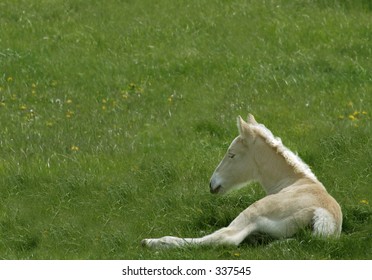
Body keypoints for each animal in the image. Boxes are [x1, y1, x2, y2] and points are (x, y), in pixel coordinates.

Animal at [142, 114, 342, 247]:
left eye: (231, 154)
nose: (212, 184)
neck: (296, 181)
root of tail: (324, 216)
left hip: (253, 211)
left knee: (225, 237)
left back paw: (153, 242)